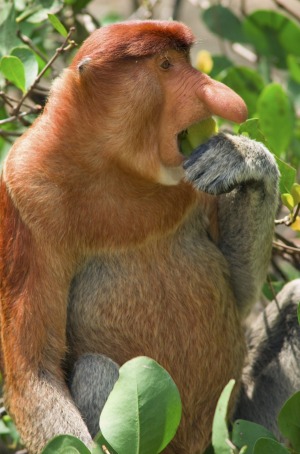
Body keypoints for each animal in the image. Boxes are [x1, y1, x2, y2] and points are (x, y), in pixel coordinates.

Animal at [1, 19, 280, 452]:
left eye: (184, 60)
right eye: (165, 65)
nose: (224, 101)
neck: (114, 166)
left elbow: (242, 291)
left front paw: (240, 157)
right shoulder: (23, 192)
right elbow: (36, 371)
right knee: (95, 369)